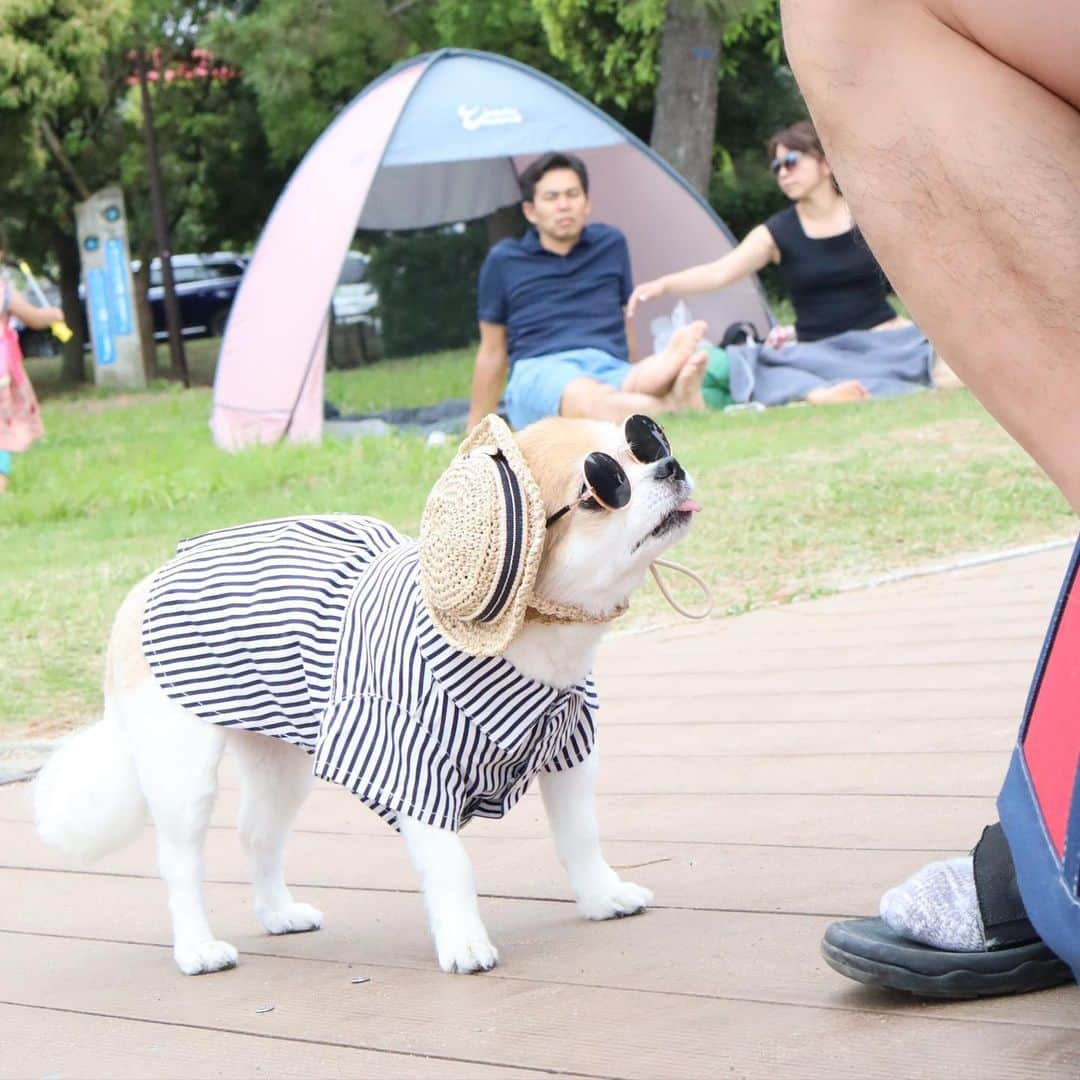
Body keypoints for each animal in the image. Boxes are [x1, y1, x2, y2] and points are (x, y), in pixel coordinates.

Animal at [33, 412, 699, 980]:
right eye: (601, 490)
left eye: (645, 444)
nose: (670, 465)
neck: (528, 648)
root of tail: (145, 585)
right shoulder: (412, 770)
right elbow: (452, 866)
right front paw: (464, 942)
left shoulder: (567, 753)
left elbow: (581, 837)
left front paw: (601, 896)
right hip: (184, 772)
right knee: (180, 862)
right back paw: (197, 948)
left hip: (281, 766)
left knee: (257, 836)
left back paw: (278, 914)